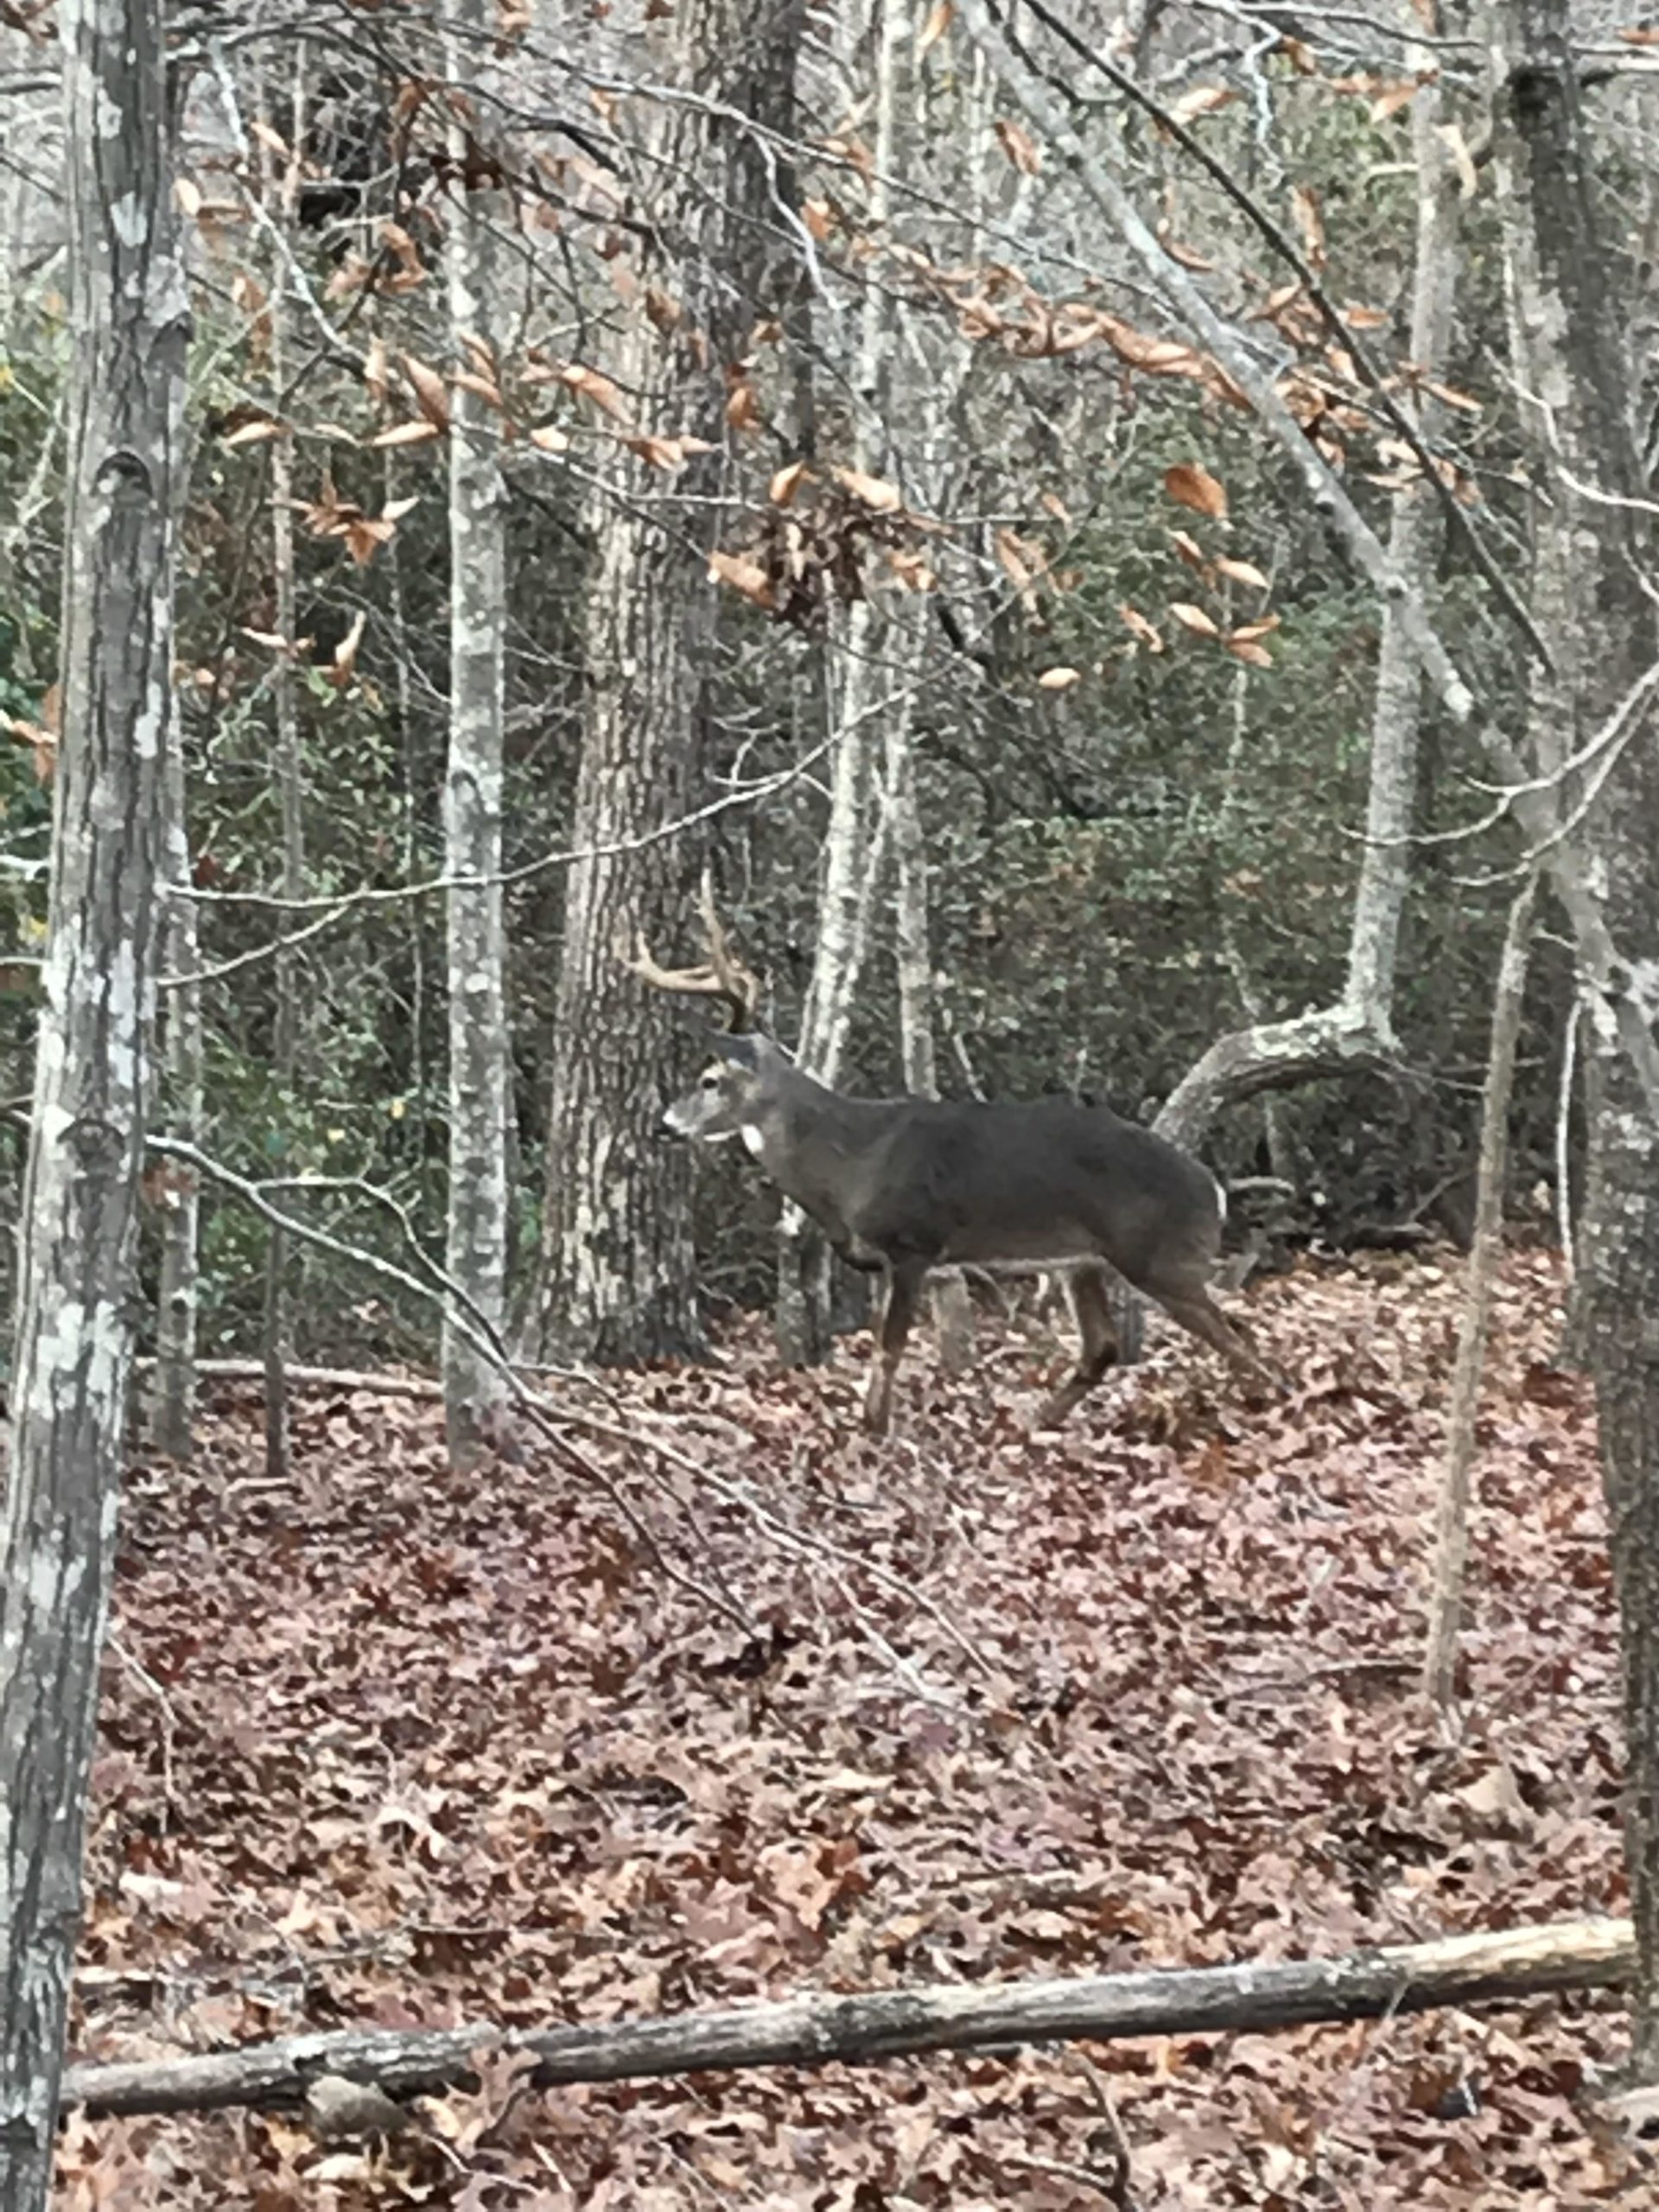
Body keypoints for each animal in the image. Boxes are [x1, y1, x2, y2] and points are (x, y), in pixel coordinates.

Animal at [630, 891, 1276, 1436]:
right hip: (1082, 1260)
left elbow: (890, 1346)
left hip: (1160, 1255)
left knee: (1237, 1337)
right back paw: (1036, 1421)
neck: (847, 1163)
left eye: (709, 1080)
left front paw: (875, 1430)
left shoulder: (914, 1244)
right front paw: (872, 1423)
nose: (665, 1123)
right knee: (1105, 1347)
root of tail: (1213, 1188)